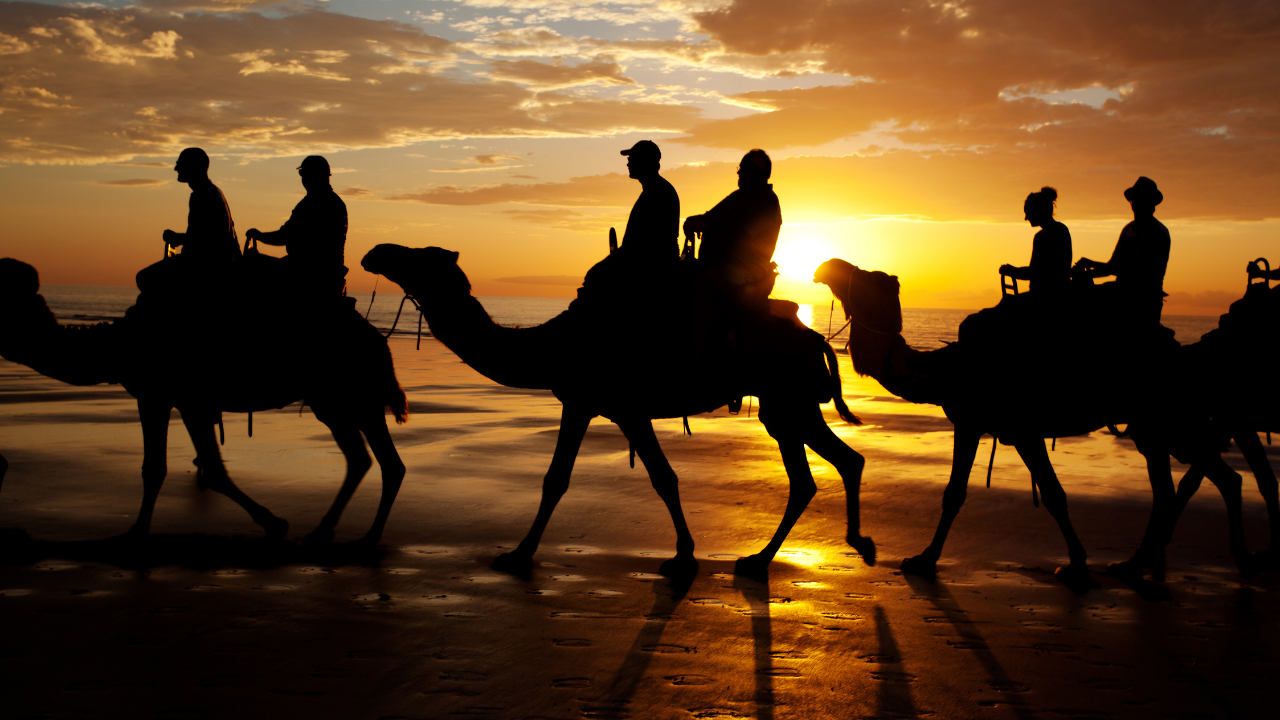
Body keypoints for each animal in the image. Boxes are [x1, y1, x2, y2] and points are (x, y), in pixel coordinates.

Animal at [0, 257, 404, 543]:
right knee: (360, 458)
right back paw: (323, 530)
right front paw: (275, 523)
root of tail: (378, 340)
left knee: (388, 462)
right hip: (331, 401)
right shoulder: (176, 399)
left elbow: (171, 467)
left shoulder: (168, 396)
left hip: (353, 393)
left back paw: (369, 537)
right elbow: (199, 467)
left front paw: (135, 533)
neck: (118, 344)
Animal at [366, 243, 875, 573]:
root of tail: (815, 338)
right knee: (826, 468)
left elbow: (644, 478)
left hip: (788, 399)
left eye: (417, 255)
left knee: (822, 468)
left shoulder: (613, 405)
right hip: (788, 404)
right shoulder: (592, 404)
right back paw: (793, 553)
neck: (553, 345)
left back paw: (798, 553)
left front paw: (517, 555)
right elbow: (577, 478)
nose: (374, 251)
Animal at [808, 257, 1249, 584]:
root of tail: (1183, 353)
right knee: (1177, 485)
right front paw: (926, 558)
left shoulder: (1017, 428)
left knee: (1218, 477)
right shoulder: (975, 422)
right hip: (1154, 426)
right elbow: (958, 492)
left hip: (1170, 416)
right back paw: (1135, 564)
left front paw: (1075, 565)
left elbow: (1049, 493)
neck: (950, 369)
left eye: (869, 278)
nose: (825, 267)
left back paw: (1237, 558)